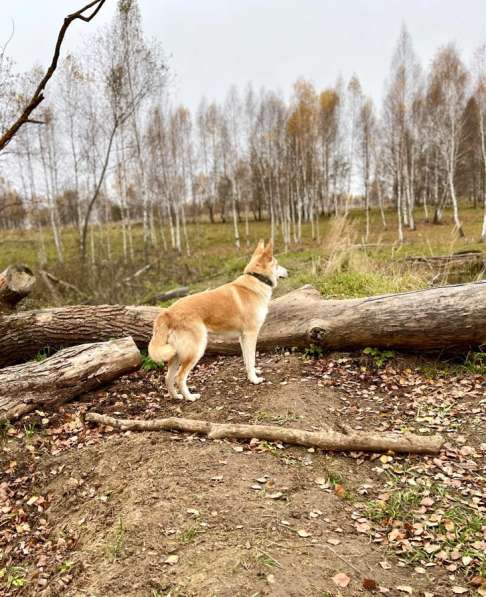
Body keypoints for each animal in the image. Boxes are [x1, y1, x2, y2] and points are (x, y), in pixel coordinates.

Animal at [148, 239, 288, 400]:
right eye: (277, 264)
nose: (288, 272)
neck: (256, 279)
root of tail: (168, 312)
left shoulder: (243, 337)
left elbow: (247, 360)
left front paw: (252, 374)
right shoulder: (251, 334)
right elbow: (251, 358)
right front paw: (254, 379)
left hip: (176, 354)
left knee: (168, 378)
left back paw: (176, 396)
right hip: (196, 350)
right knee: (179, 377)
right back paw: (190, 397)